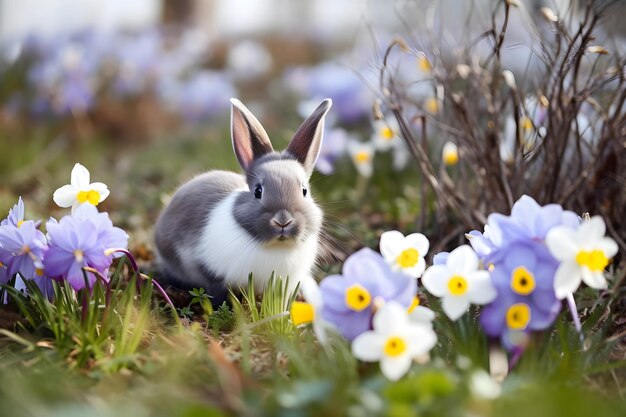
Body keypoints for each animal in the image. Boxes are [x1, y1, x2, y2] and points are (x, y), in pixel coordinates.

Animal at [154, 97, 332, 306]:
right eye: (258, 191)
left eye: (304, 191)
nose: (283, 220)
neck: (275, 247)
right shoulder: (210, 271)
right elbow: (217, 293)